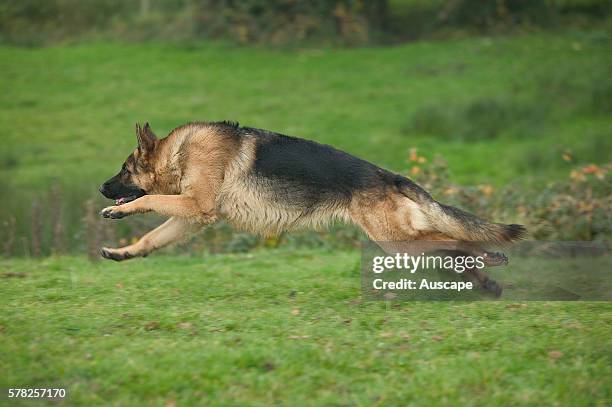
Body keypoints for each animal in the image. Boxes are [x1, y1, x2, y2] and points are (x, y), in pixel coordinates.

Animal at [100, 122, 524, 294]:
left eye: (123, 170)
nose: (102, 188)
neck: (179, 152)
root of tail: (390, 176)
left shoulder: (194, 205)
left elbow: (149, 200)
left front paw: (117, 213)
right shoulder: (193, 217)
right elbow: (152, 238)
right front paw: (123, 253)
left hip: (396, 241)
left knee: (455, 242)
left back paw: (490, 262)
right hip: (402, 241)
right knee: (449, 249)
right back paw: (486, 282)